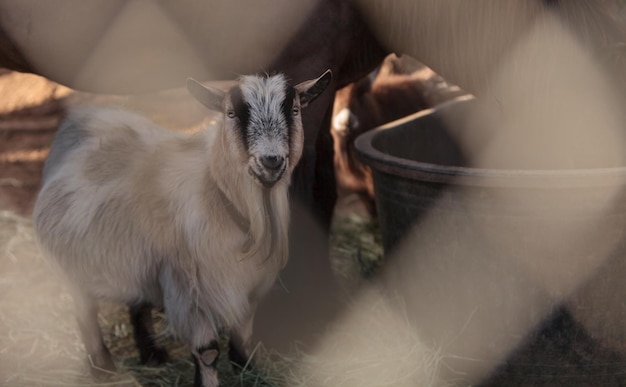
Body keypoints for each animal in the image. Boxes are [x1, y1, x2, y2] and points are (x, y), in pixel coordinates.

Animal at [31, 70, 332, 387]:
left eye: (295, 110)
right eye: (230, 113)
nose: (271, 161)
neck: (218, 195)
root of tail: (87, 116)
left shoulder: (249, 284)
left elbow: (244, 335)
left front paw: (249, 371)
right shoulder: (188, 289)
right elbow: (208, 350)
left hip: (135, 258)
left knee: (137, 302)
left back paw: (152, 354)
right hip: (71, 266)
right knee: (84, 312)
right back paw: (102, 367)